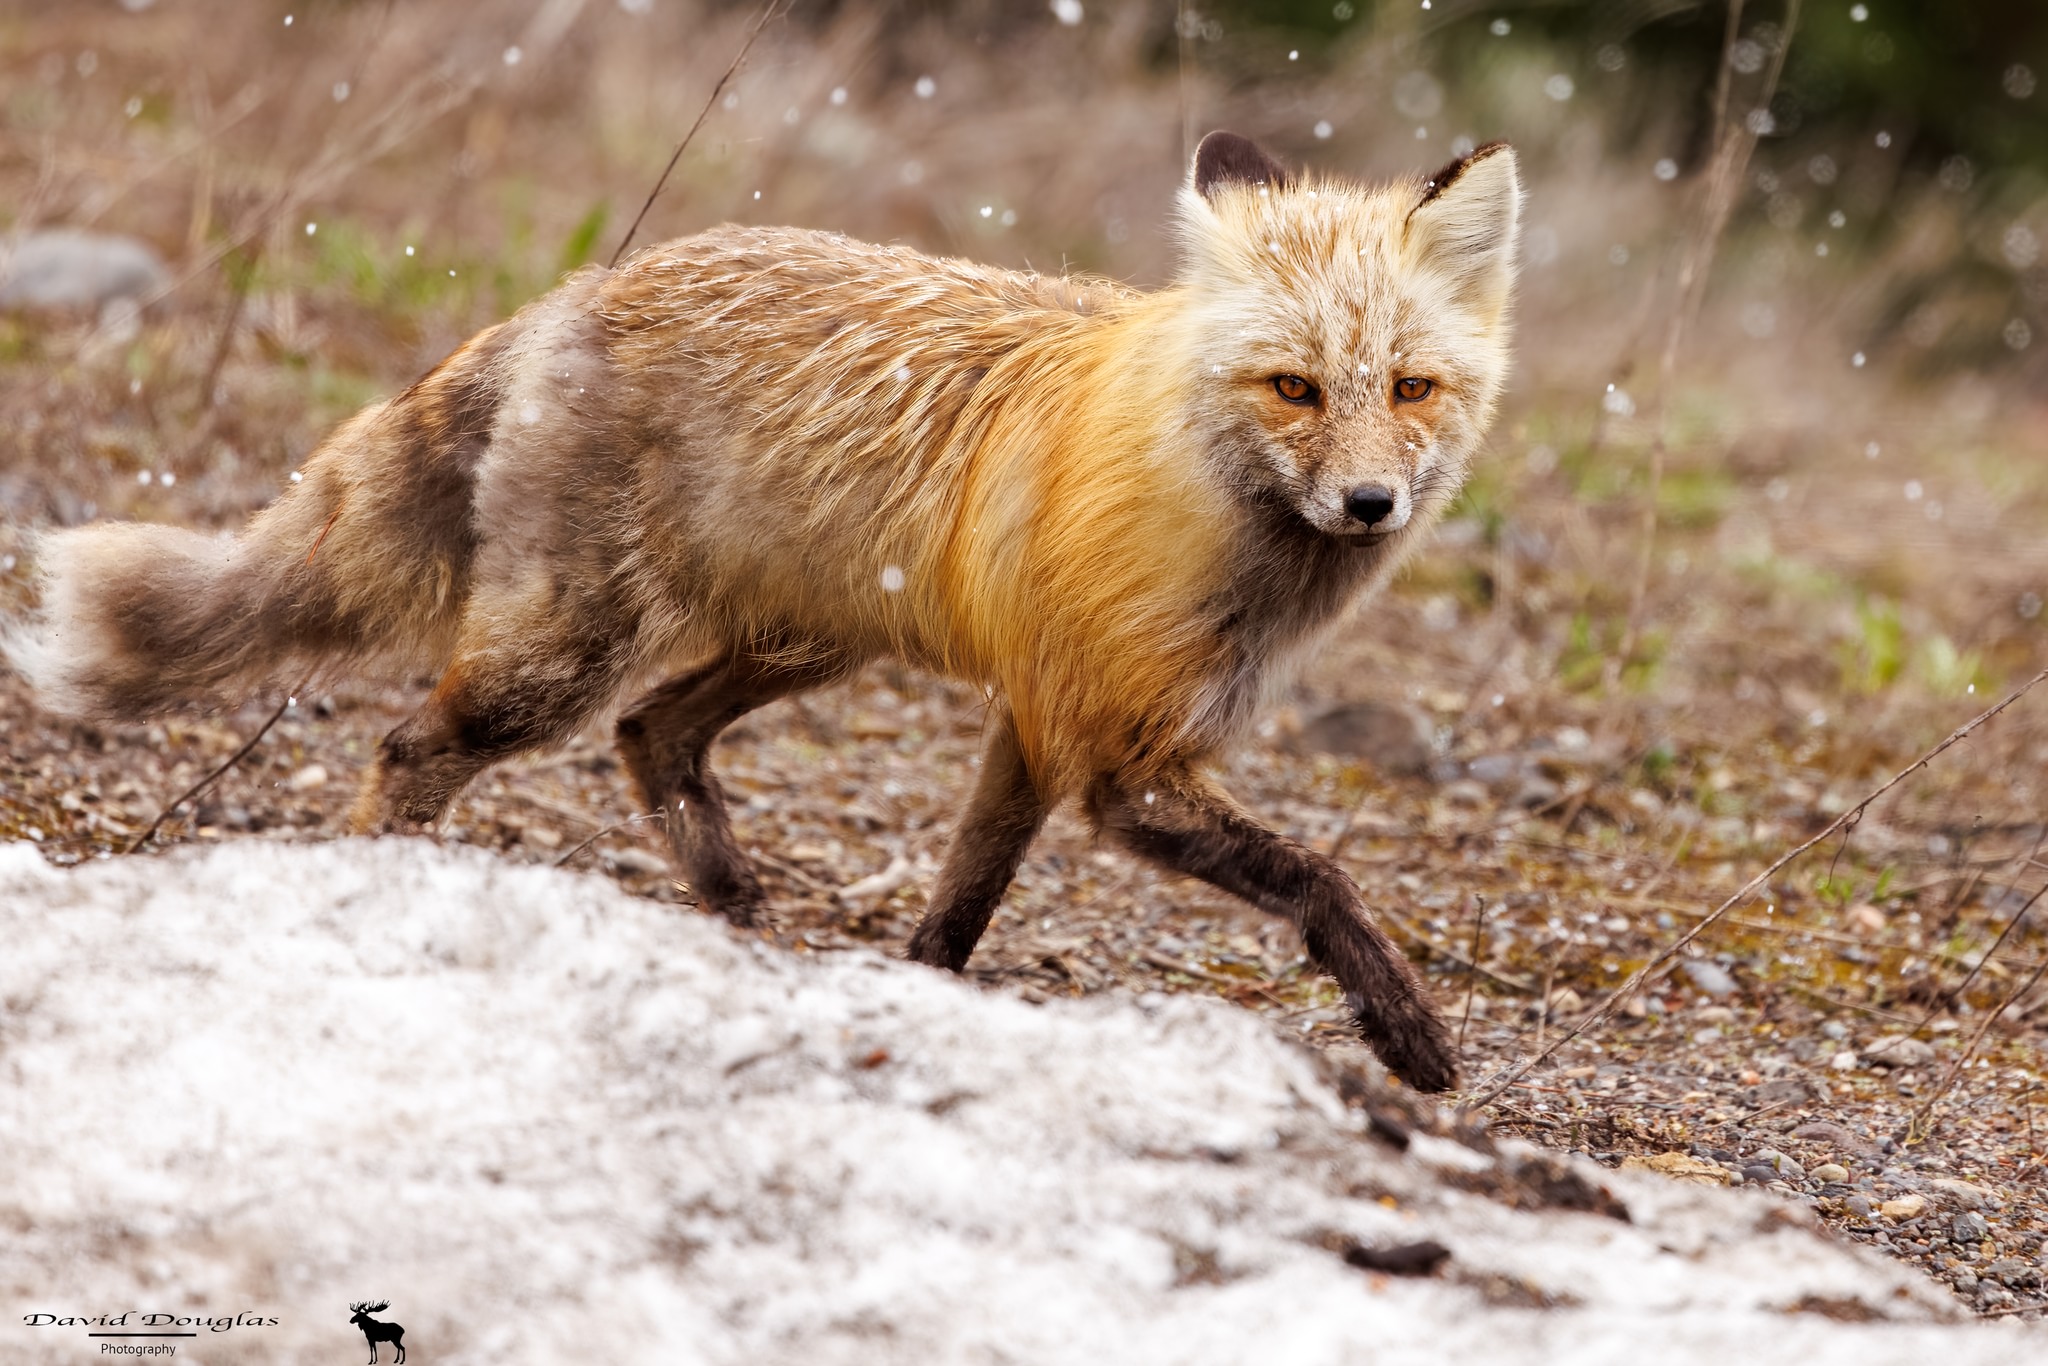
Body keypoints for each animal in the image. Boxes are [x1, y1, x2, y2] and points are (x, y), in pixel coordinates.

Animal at [6, 132, 1519, 1091]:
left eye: (1411, 388)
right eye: (1293, 388)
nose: (1371, 504)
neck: (1212, 507)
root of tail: (582, 288)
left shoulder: (1038, 721)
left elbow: (963, 898)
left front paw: (919, 997)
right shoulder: (1115, 753)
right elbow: (1318, 874)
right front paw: (1407, 1030)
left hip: (806, 637)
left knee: (652, 735)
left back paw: (735, 911)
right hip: (567, 654)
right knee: (413, 747)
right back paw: (390, 893)